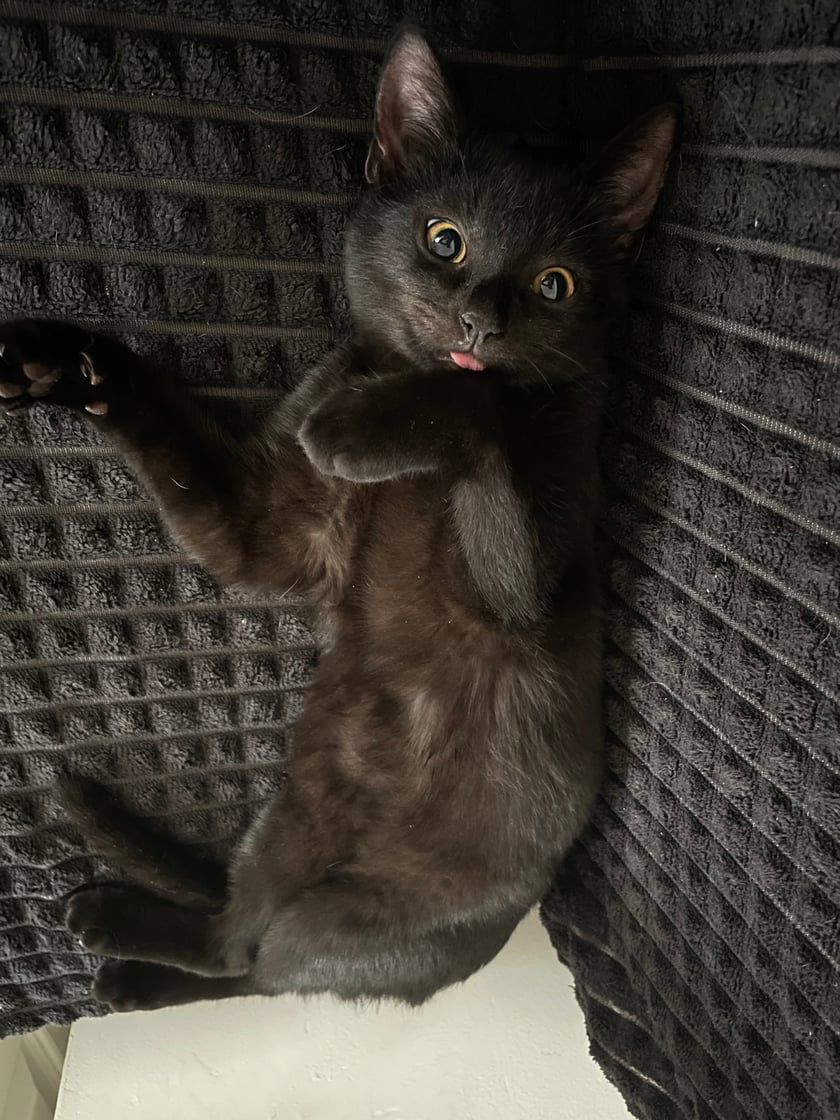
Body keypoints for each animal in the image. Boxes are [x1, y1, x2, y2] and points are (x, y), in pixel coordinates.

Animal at [0, 28, 676, 1012]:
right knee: (240, 947)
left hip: (323, 868)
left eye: (556, 284)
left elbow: (487, 403)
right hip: (304, 808)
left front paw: (353, 429)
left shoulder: (528, 574)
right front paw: (69, 365)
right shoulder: (271, 527)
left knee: (241, 961)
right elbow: (175, 445)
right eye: (444, 239)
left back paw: (121, 944)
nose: (479, 319)